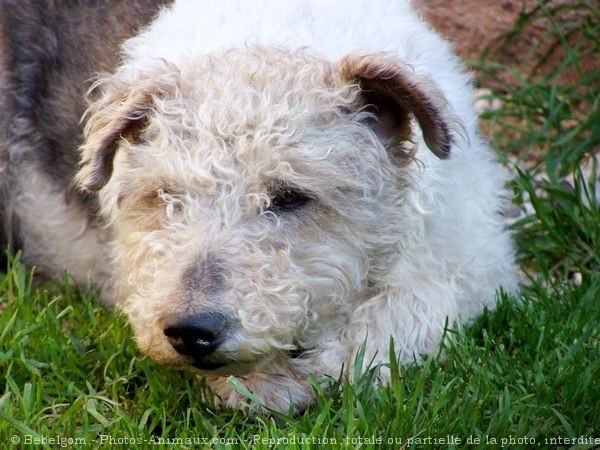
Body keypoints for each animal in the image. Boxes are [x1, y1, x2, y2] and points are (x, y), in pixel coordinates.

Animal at [0, 0, 516, 412]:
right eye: (167, 197)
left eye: (290, 196)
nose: (191, 331)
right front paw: (266, 385)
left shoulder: (474, 264)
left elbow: (404, 311)